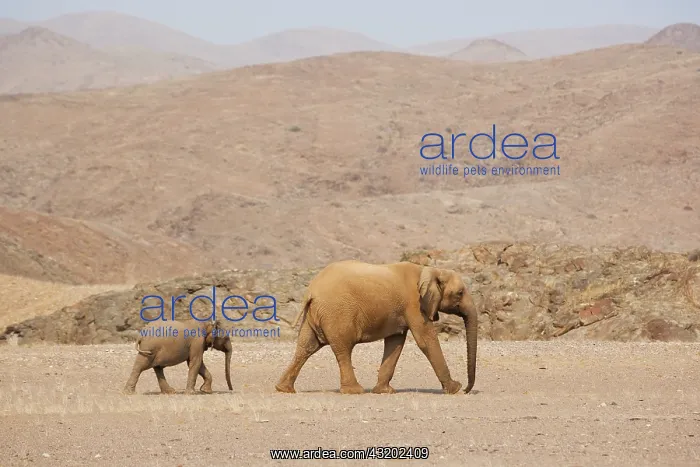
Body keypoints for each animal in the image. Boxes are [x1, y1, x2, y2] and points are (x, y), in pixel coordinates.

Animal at [275, 260, 477, 395]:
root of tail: (311, 291)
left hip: (314, 315)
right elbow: (426, 341)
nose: (467, 390)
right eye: (460, 293)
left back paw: (284, 389)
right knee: (343, 348)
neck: (430, 270)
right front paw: (455, 388)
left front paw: (384, 391)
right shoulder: (415, 304)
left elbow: (395, 343)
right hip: (337, 313)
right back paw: (354, 391)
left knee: (306, 347)